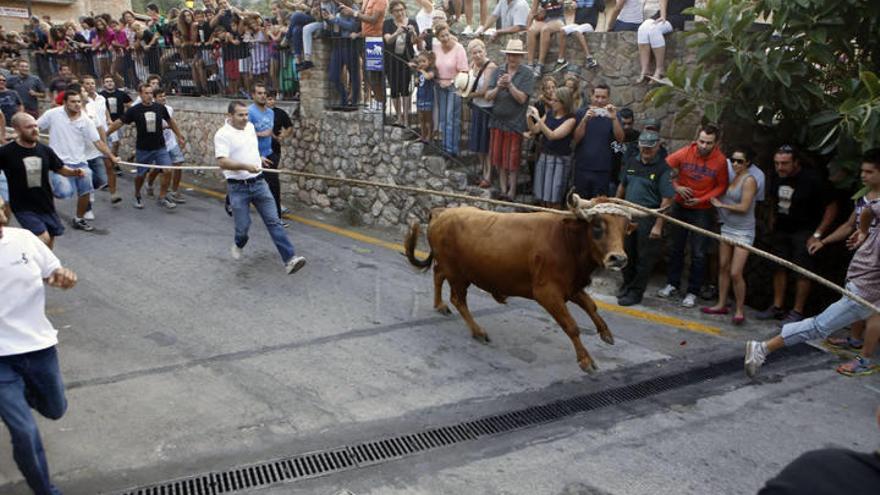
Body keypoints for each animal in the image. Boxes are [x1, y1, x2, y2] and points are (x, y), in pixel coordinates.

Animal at [402, 194, 644, 372]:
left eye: (624, 229)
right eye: (597, 226)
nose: (618, 258)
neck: (566, 240)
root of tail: (441, 212)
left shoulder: (572, 287)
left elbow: (591, 306)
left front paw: (606, 333)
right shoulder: (547, 293)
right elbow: (572, 326)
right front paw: (585, 360)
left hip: (450, 267)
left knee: (437, 275)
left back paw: (440, 305)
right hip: (458, 273)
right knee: (457, 298)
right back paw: (478, 331)